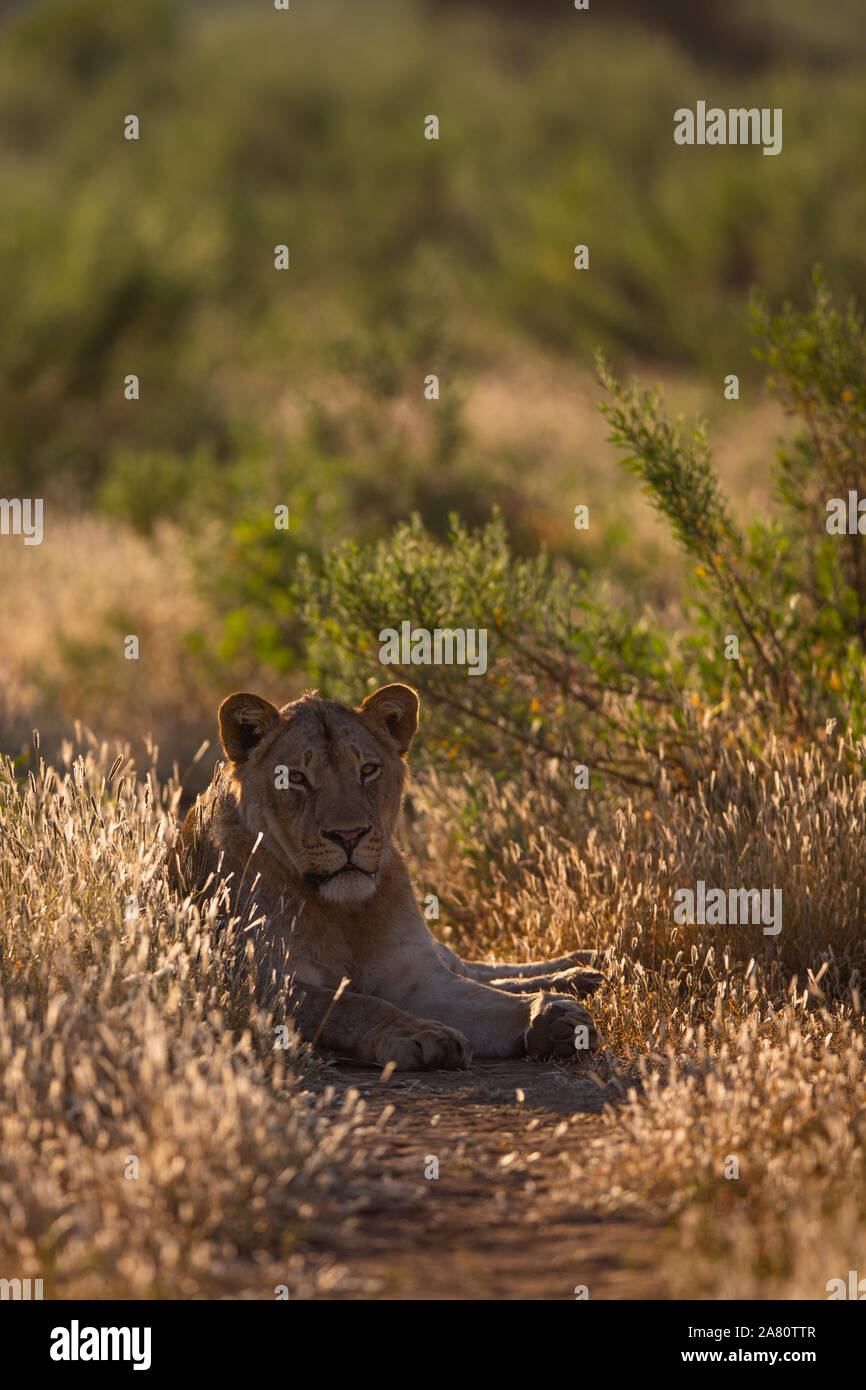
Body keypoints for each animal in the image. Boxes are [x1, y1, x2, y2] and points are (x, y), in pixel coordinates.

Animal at [173, 686, 606, 1073]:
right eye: (295, 777)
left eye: (368, 770)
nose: (349, 835)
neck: (344, 912)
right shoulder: (262, 981)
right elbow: (351, 1005)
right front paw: (421, 1034)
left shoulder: (413, 971)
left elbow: (484, 998)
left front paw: (550, 1019)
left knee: (470, 966)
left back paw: (580, 971)